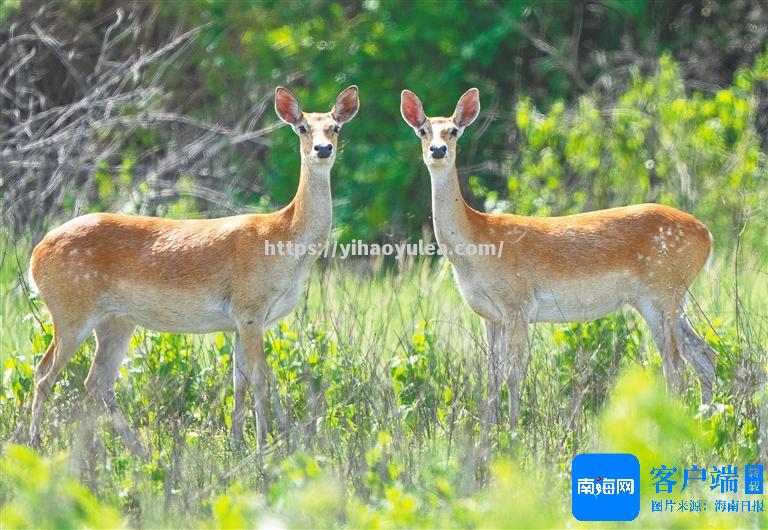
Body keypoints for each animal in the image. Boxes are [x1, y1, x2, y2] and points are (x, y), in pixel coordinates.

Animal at [25, 83, 358, 454]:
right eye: (302, 127)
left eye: (336, 127)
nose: (323, 149)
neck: (285, 242)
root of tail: (35, 256)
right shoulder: (250, 308)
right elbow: (261, 378)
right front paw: (266, 446)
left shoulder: (238, 321)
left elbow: (239, 381)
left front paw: (238, 444)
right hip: (70, 309)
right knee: (44, 373)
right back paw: (33, 442)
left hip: (115, 320)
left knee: (95, 380)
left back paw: (139, 450)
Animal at [402, 85, 720, 424]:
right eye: (422, 131)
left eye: (454, 131)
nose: (437, 150)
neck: (475, 243)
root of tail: (707, 235)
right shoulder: (490, 316)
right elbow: (492, 376)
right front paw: (488, 428)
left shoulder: (518, 304)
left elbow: (514, 373)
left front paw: (514, 428)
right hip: (672, 297)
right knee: (703, 353)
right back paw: (706, 418)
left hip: (661, 292)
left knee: (675, 363)